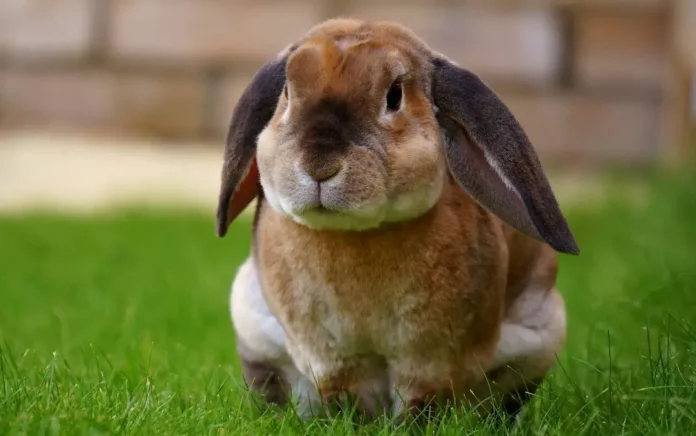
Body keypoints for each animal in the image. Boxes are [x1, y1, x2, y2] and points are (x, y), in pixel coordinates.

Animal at [215, 18, 580, 424]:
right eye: (287, 94)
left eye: (394, 96)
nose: (319, 165)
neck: (357, 234)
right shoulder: (333, 358)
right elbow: (345, 396)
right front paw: (352, 424)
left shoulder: (431, 359)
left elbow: (422, 401)